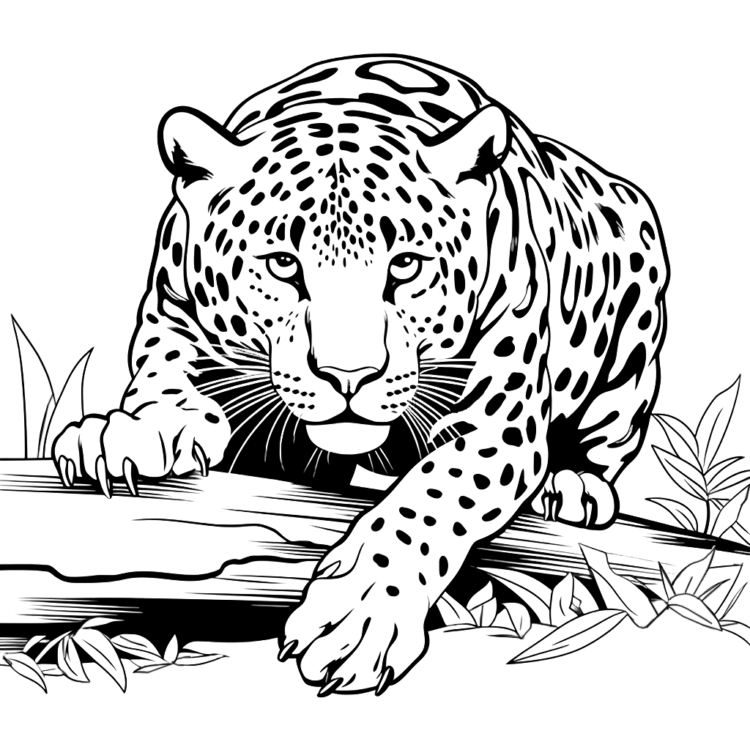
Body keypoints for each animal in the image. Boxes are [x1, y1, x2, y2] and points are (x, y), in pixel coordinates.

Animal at [53, 54, 669, 695]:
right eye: (283, 264)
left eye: (406, 265)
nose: (348, 376)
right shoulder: (173, 310)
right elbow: (164, 375)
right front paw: (132, 433)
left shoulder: (498, 421)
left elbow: (431, 497)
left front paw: (361, 615)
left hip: (631, 352)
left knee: (606, 436)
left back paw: (573, 486)